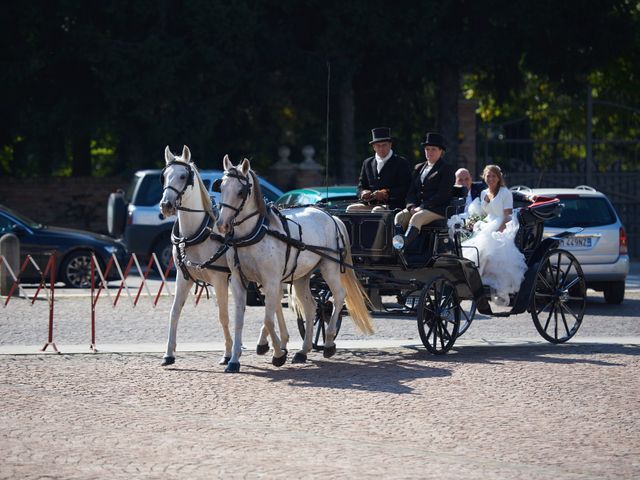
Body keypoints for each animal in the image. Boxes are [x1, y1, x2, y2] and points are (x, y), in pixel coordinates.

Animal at [159, 146, 288, 368]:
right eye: (165, 175)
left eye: (183, 176)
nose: (166, 205)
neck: (196, 232)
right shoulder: (182, 278)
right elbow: (174, 312)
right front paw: (169, 354)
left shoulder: (219, 279)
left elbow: (224, 316)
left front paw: (229, 354)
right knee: (276, 302)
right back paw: (277, 343)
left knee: (275, 301)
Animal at [216, 156, 372, 374]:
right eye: (221, 187)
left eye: (240, 191)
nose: (222, 225)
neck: (253, 234)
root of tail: (332, 217)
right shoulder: (239, 281)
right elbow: (240, 319)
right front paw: (234, 360)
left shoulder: (272, 280)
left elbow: (268, 318)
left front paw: (278, 354)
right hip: (301, 276)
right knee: (311, 306)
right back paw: (303, 350)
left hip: (329, 267)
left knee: (339, 296)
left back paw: (329, 342)